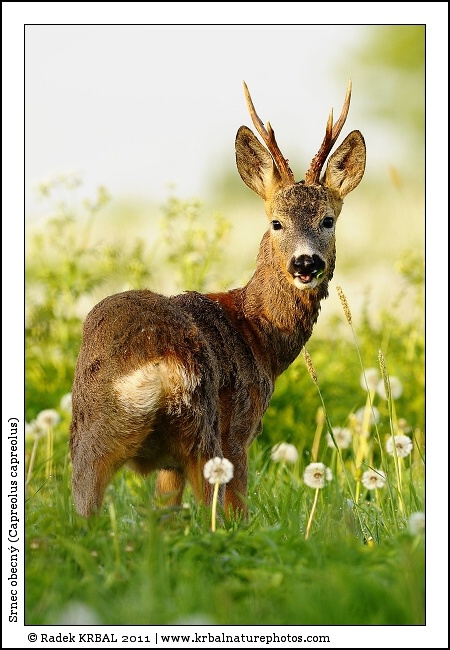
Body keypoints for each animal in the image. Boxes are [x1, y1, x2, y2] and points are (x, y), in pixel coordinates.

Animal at [69, 81, 366, 519]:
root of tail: (157, 363)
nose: (305, 263)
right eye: (276, 222)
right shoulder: (241, 427)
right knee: (222, 518)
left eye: (327, 220)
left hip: (92, 433)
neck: (257, 333)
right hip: (205, 433)